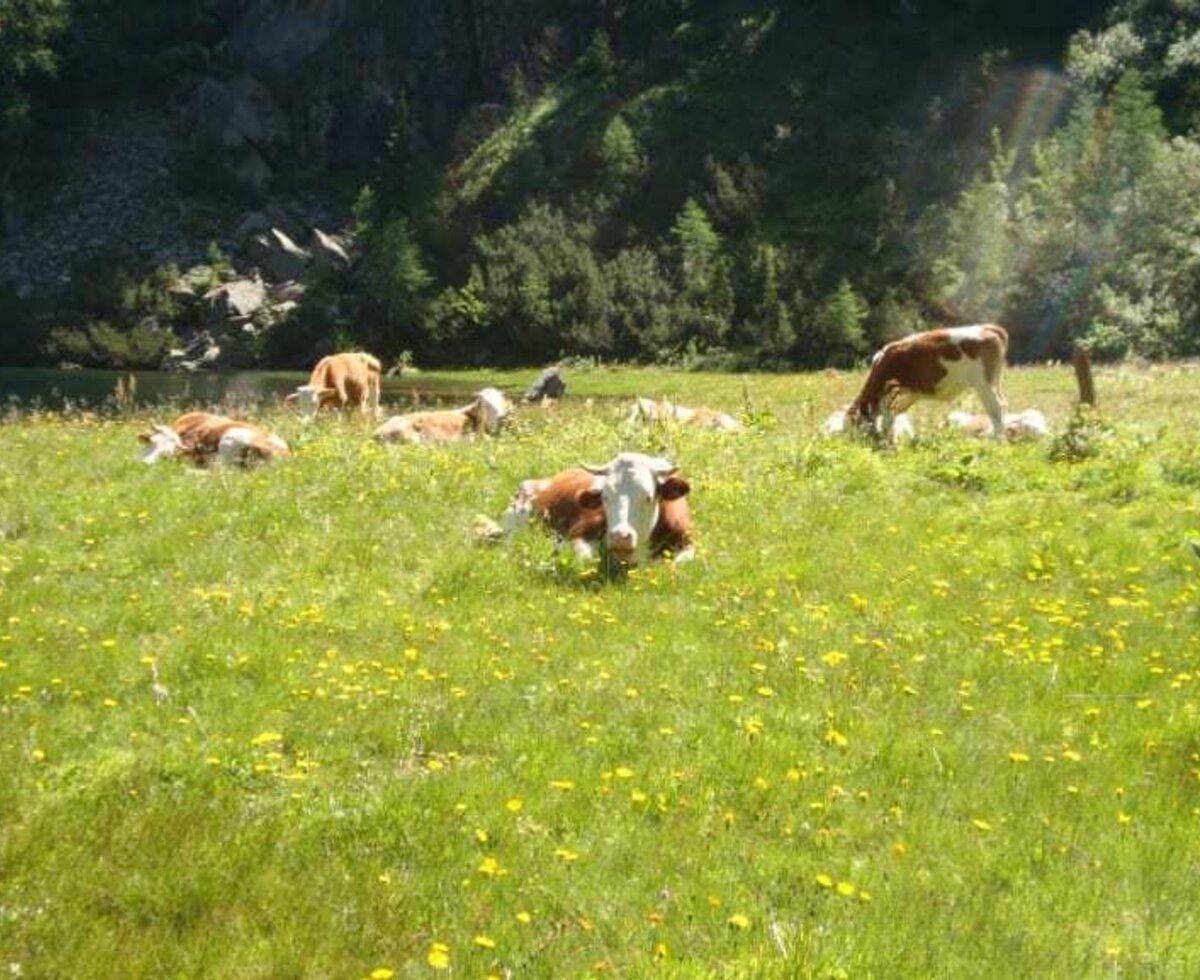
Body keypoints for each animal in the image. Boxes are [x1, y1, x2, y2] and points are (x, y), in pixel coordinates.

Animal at [480, 446, 696, 561]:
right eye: (605, 497)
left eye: (648, 497)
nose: (619, 537)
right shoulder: (578, 534)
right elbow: (585, 559)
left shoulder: (689, 542)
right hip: (514, 526)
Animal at [849, 323, 1008, 439]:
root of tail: (988, 328)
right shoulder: (907, 395)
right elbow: (894, 417)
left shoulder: (890, 396)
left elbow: (888, 420)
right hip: (994, 382)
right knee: (1002, 404)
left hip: (984, 383)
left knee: (996, 408)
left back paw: (996, 439)